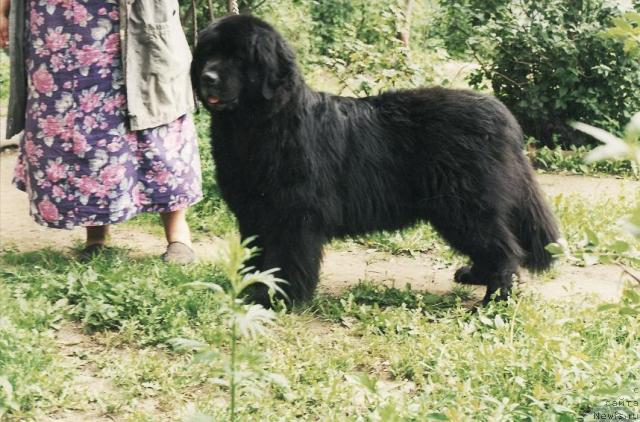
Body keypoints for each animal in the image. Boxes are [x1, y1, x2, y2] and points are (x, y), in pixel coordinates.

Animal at [191, 15, 560, 306]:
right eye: (208, 53)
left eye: (239, 57)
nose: (207, 77)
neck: (260, 124)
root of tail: (502, 115)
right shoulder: (253, 212)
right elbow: (256, 258)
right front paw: (250, 291)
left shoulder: (293, 214)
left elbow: (284, 260)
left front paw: (277, 299)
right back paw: (474, 276)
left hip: (464, 207)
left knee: (504, 250)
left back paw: (495, 299)